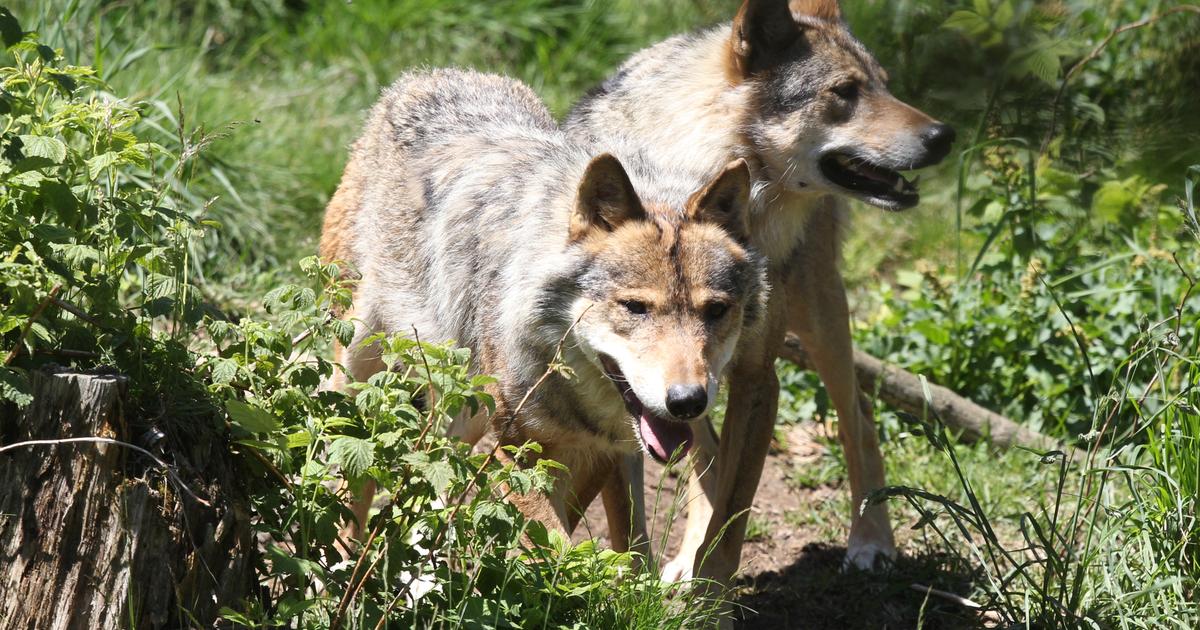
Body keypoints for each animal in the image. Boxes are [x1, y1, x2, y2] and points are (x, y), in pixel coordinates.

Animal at [319, 67, 768, 544]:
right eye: (635, 307)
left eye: (715, 311)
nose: (687, 402)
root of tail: (425, 75)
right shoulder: (515, 450)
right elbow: (554, 544)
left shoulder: (604, 452)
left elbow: (605, 541)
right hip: (359, 362)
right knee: (354, 478)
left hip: (466, 410)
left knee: (434, 469)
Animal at [568, 0, 955, 590]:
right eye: (845, 91)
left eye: (884, 85)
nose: (943, 134)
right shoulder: (624, 382)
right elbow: (631, 523)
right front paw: (643, 589)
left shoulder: (757, 378)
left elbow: (732, 520)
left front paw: (709, 597)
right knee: (707, 453)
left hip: (820, 317)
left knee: (859, 414)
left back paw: (871, 543)